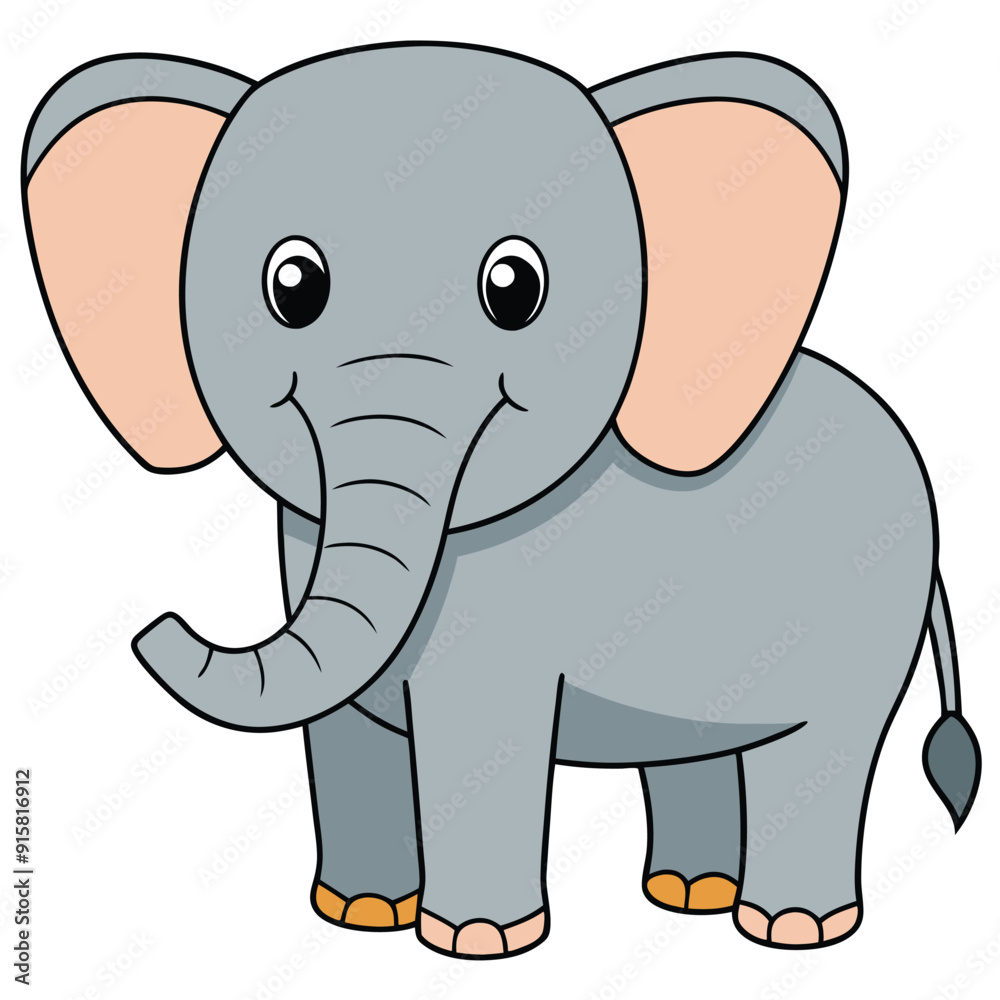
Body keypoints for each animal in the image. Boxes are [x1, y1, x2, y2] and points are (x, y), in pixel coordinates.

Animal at [23, 43, 981, 958]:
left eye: (514, 289)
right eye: (291, 287)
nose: (154, 625)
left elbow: (478, 735)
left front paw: (476, 944)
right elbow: (343, 725)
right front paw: (360, 916)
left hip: (869, 615)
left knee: (828, 751)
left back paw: (792, 928)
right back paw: (688, 895)